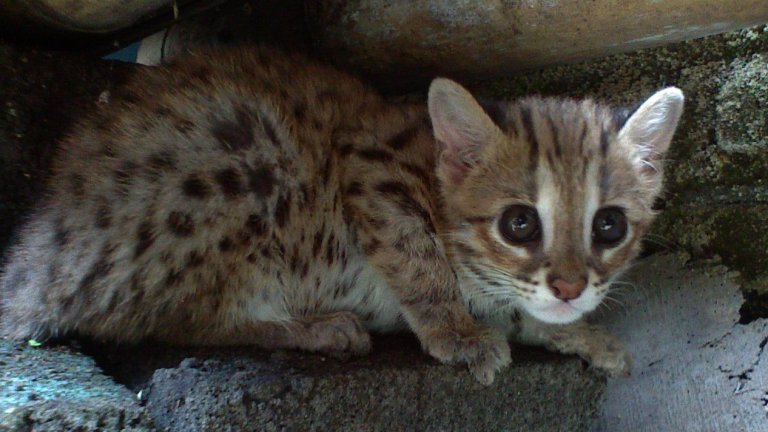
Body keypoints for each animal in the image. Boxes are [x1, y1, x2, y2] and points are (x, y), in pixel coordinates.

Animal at [0, 47, 684, 384]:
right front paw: (456, 333)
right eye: (519, 224)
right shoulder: (371, 167)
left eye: (609, 226)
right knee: (169, 320)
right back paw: (311, 327)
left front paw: (574, 332)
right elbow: (417, 259)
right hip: (247, 155)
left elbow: (521, 308)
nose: (570, 288)